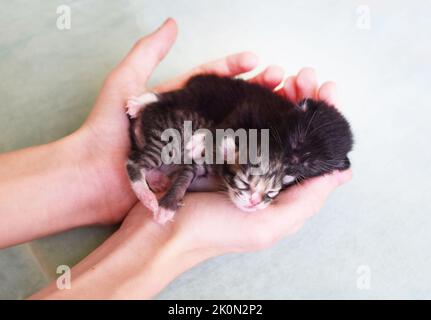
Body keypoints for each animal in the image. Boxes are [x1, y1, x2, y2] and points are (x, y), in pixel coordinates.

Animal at [125, 74, 354, 224]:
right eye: (295, 142)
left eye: (310, 166)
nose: (285, 165)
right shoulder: (247, 109)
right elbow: (222, 127)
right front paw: (199, 141)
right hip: (203, 93)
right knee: (170, 96)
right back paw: (140, 101)